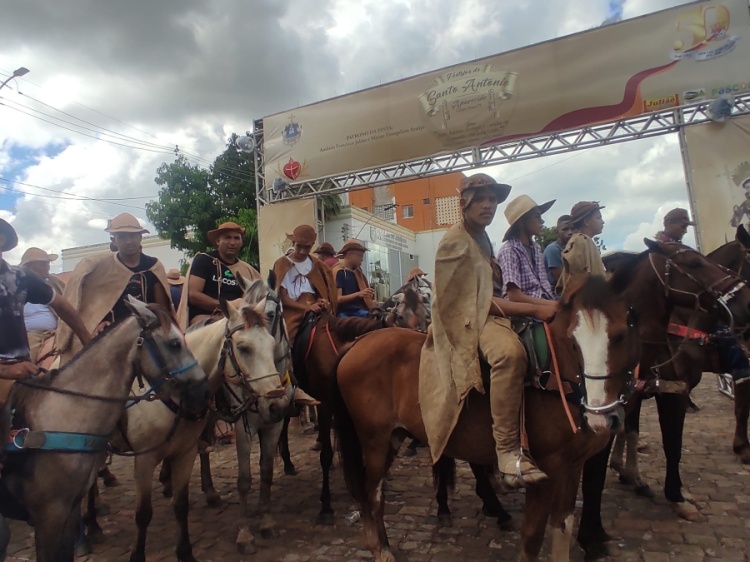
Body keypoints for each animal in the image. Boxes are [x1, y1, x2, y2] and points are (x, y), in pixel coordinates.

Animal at [334, 276, 640, 560]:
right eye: (573, 342)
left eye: (621, 335)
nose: (601, 418)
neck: (557, 378)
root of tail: (357, 344)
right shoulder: (548, 470)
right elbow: (532, 538)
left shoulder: (573, 466)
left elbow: (562, 527)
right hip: (374, 440)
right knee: (372, 492)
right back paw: (380, 548)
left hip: (393, 438)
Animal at [580, 238, 750, 556]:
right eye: (694, 263)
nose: (746, 301)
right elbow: (596, 472)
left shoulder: (649, 395)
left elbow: (659, 442)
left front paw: (669, 492)